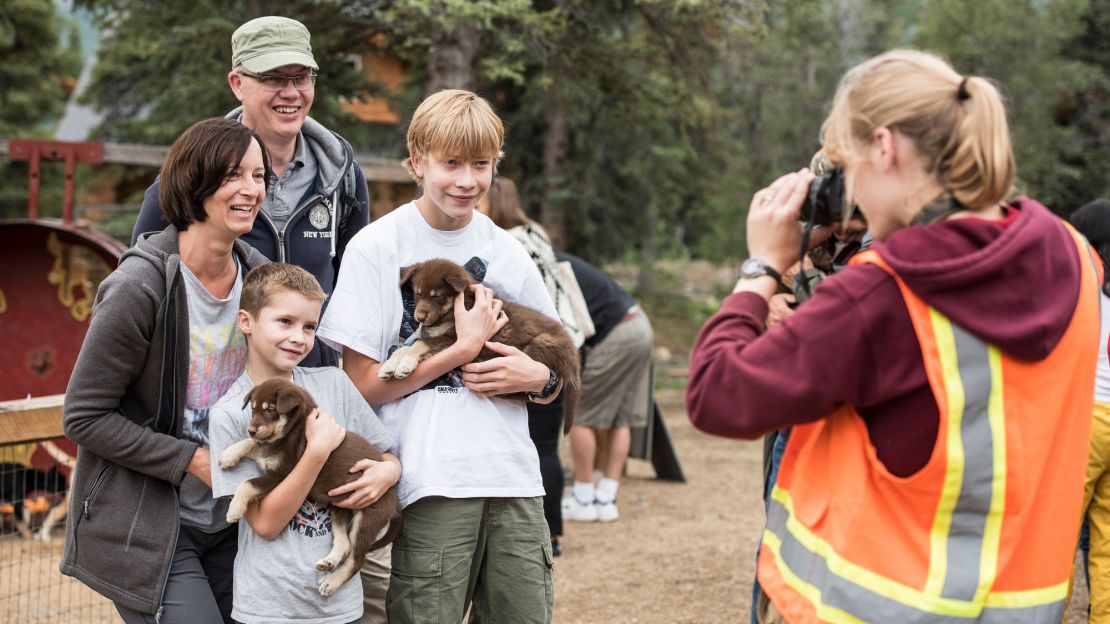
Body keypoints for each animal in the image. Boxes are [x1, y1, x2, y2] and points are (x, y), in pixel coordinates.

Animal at [218, 377, 401, 595]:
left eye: (270, 410)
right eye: (252, 408)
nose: (251, 429)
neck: (291, 430)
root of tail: (396, 502)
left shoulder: (282, 475)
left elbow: (247, 484)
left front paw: (234, 509)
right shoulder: (267, 453)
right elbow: (251, 443)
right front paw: (229, 454)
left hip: (366, 519)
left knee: (356, 560)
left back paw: (332, 581)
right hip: (340, 507)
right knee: (344, 544)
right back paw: (329, 563)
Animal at [377, 257, 581, 433]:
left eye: (437, 296)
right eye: (417, 294)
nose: (419, 317)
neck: (451, 311)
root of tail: (574, 358)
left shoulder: (453, 338)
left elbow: (418, 344)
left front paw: (405, 365)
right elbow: (404, 347)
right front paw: (388, 367)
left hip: (540, 345)